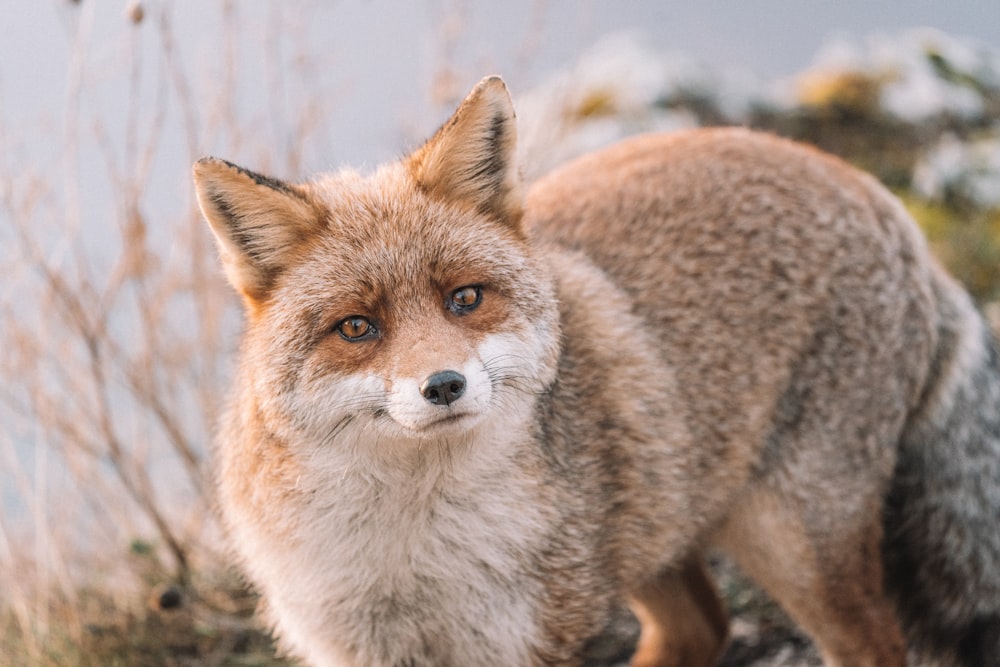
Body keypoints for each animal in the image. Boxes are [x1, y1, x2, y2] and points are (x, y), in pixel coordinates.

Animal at [193, 74, 1000, 667]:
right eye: (358, 327)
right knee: (703, 627)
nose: (445, 385)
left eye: (465, 298)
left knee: (870, 644)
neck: (408, 553)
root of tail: (876, 194)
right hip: (659, 523)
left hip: (794, 542)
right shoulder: (354, 646)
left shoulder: (524, 638)